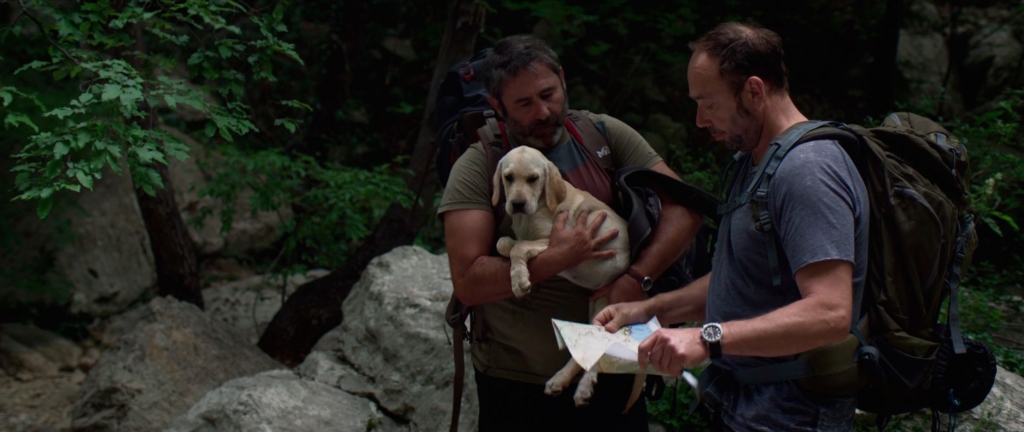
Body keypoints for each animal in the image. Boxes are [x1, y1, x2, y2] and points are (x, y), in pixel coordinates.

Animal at [491, 146, 643, 411]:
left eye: (533, 179)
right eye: (508, 177)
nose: (517, 204)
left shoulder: (556, 241)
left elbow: (520, 247)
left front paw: (519, 280)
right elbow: (505, 243)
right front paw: (510, 250)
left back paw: (574, 384)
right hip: (598, 306)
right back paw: (570, 384)